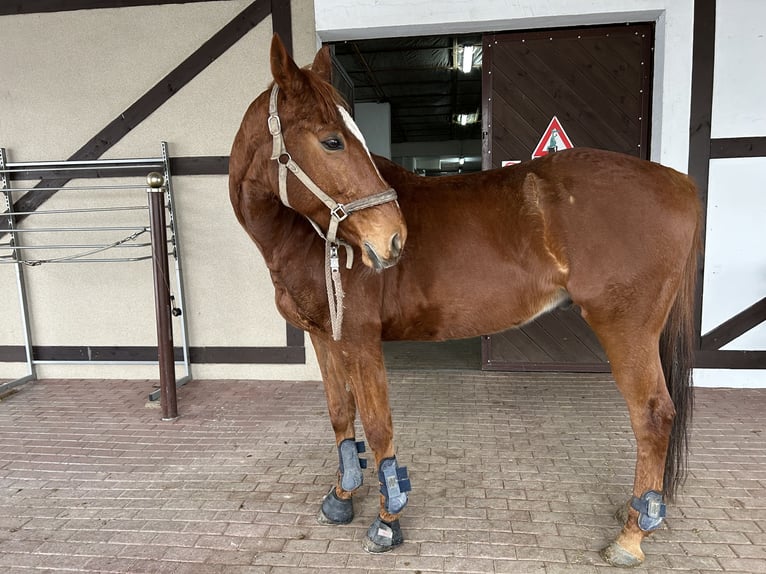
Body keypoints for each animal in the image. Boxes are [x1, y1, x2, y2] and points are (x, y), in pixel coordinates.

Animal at [230, 33, 704, 568]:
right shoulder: (324, 337)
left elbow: (378, 427)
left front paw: (387, 521)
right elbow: (340, 417)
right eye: (332, 140)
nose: (393, 239)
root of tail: (678, 182)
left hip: (626, 330)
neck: (308, 237)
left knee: (653, 416)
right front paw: (341, 497)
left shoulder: (360, 340)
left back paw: (631, 535)